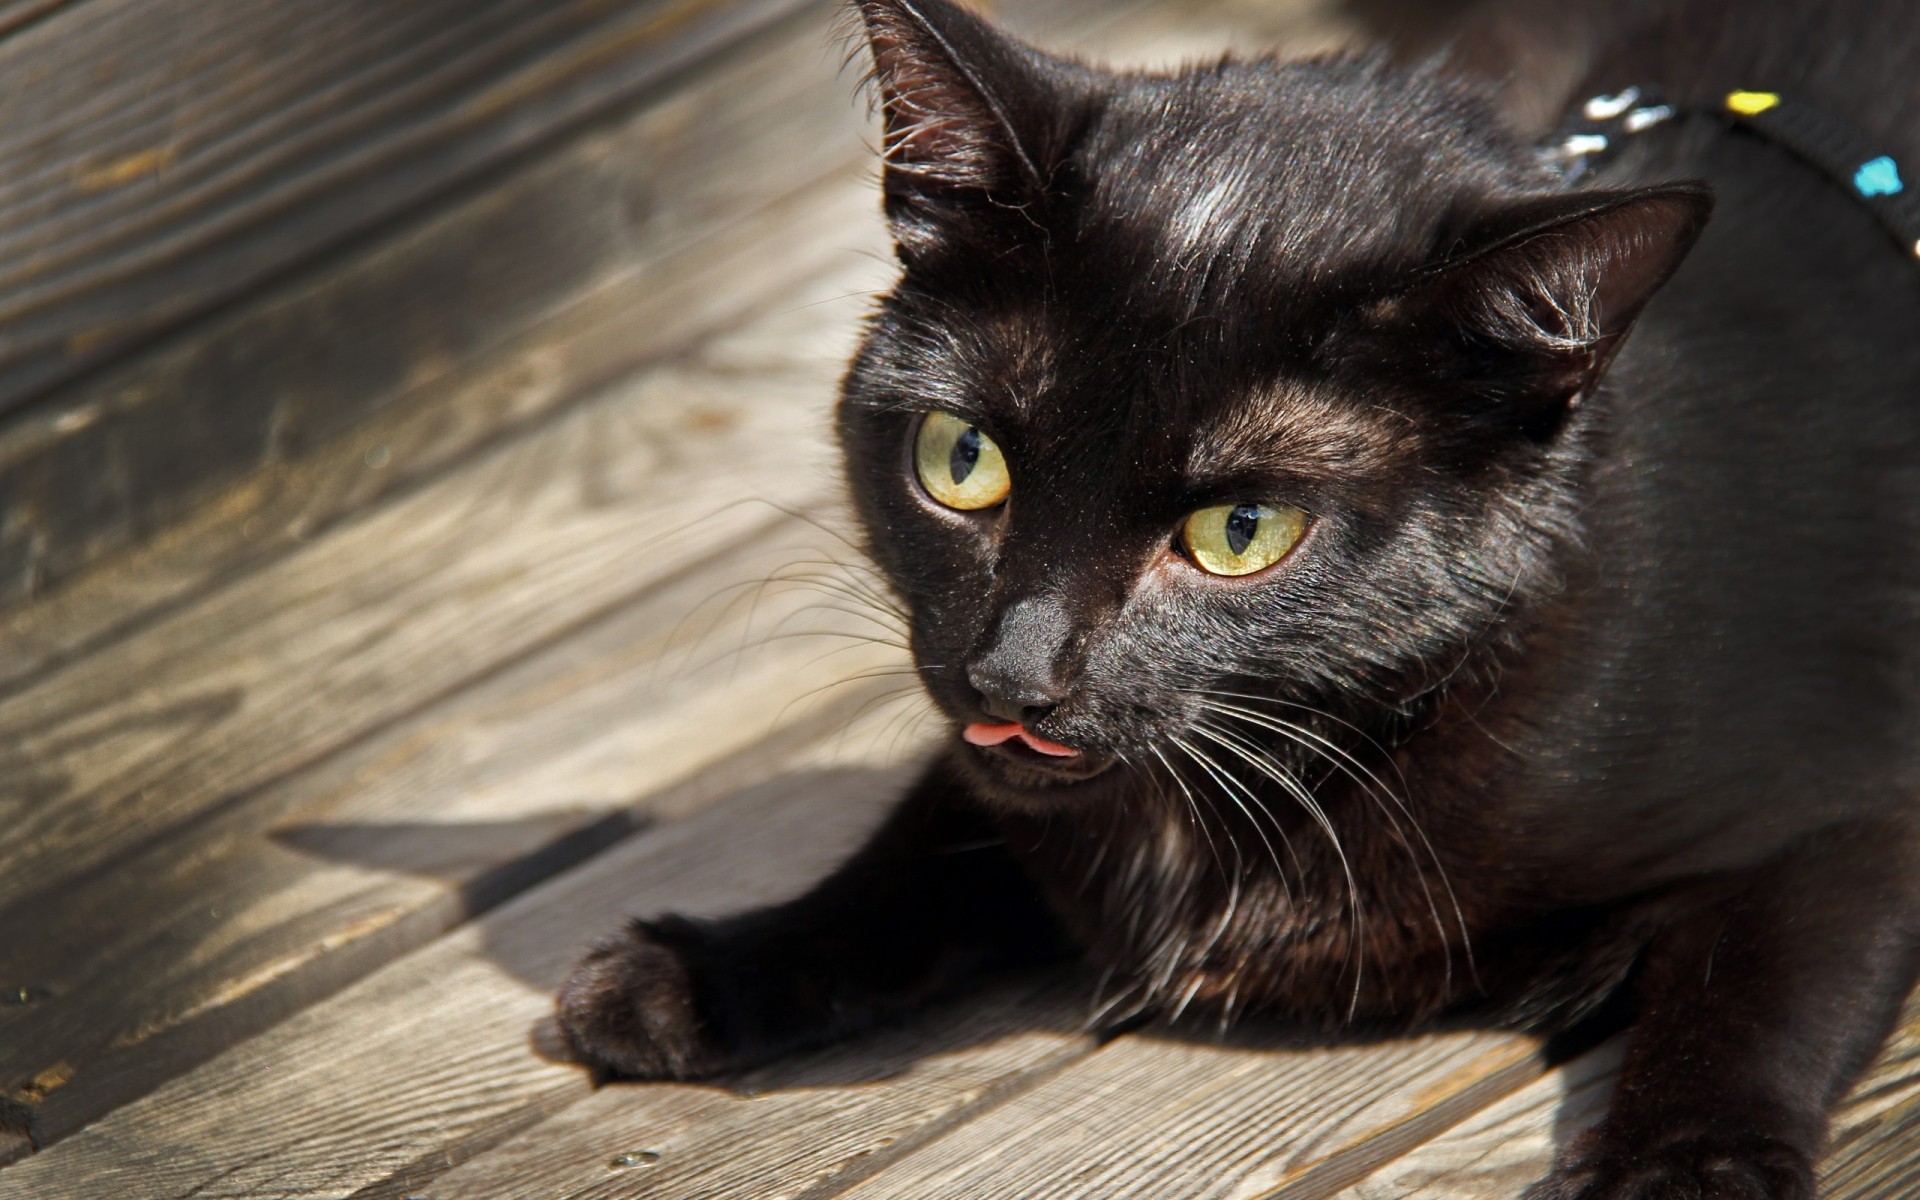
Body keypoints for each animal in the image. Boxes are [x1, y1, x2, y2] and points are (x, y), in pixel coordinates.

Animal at [556, 4, 1920, 1190]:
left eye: (1241, 533)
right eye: (962, 460)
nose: (1015, 671)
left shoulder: (1861, 793)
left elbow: (1752, 992)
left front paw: (1686, 1171)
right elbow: (926, 843)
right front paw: (705, 971)